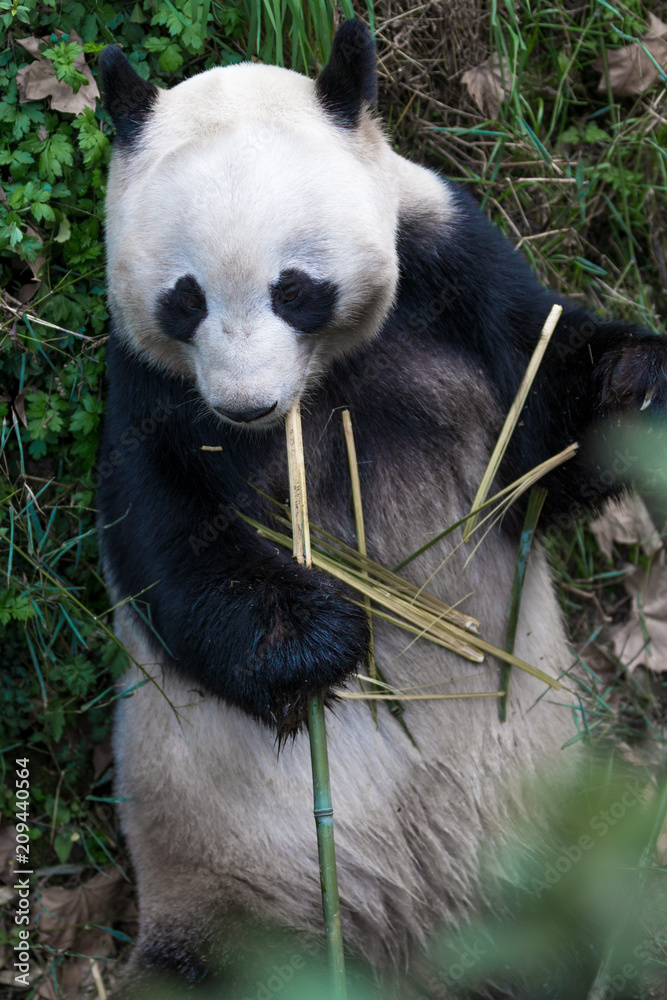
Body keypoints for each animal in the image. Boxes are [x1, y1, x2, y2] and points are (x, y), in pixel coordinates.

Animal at [95, 19, 667, 1000]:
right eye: (184, 298)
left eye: (294, 288)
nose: (245, 406)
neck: (322, 384)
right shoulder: (146, 386)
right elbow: (164, 538)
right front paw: (316, 637)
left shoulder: (452, 267)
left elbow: (547, 430)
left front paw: (640, 382)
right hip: (231, 896)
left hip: (564, 835)